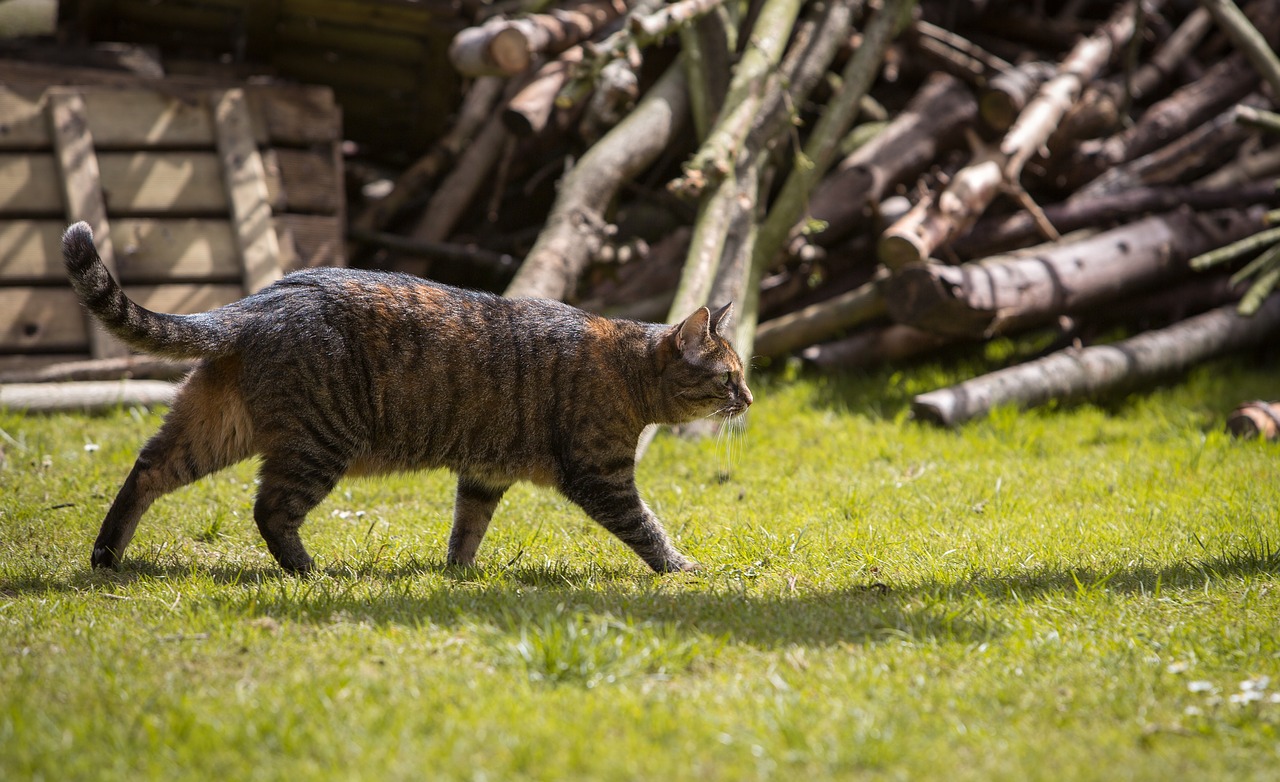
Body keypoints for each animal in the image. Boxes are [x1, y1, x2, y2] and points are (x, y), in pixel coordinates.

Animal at [62, 220, 747, 575]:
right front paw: (681, 567)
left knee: (147, 470)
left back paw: (105, 557)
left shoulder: (484, 474)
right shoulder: (600, 475)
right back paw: (311, 572)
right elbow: (646, 526)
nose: (749, 399)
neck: (630, 369)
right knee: (270, 511)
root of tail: (263, 299)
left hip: (214, 425)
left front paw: (458, 575)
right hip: (318, 443)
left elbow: (466, 530)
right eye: (728, 377)